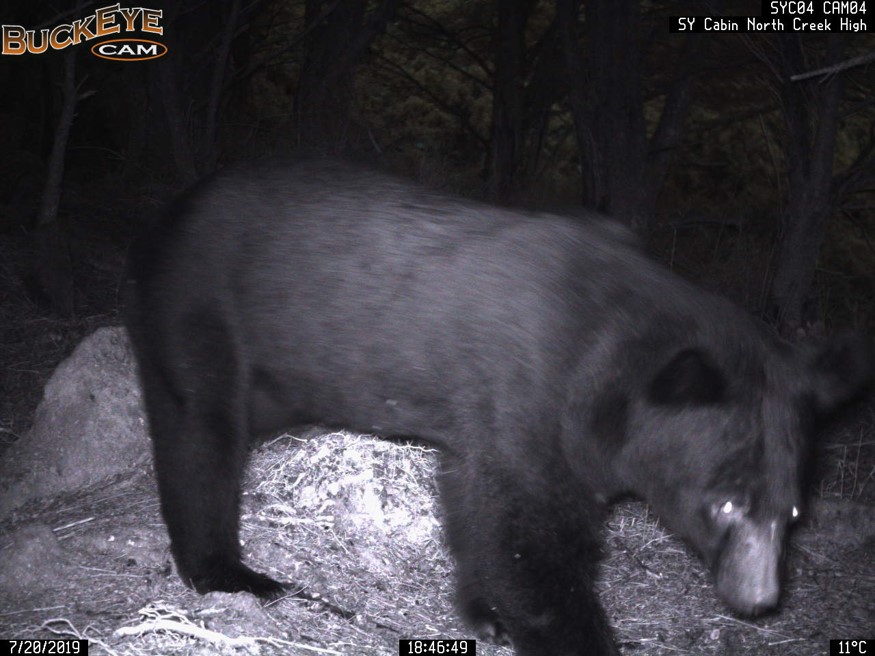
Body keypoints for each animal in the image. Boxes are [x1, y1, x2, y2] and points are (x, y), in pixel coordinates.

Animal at [125, 158, 872, 656]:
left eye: (793, 513)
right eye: (723, 504)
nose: (757, 602)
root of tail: (172, 210)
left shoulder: (504, 420)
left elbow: (477, 508)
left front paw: (483, 614)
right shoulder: (538, 389)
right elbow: (528, 534)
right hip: (203, 311)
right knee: (200, 433)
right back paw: (231, 573)